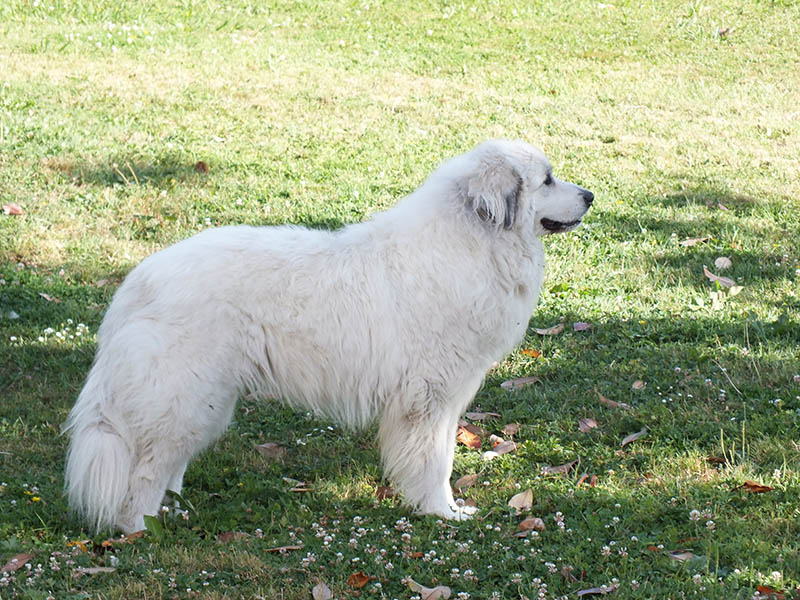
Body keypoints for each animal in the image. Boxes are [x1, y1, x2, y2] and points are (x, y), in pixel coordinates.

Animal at [64, 138, 592, 532]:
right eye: (547, 180)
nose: (590, 196)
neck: (472, 242)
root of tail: (137, 282)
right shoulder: (428, 402)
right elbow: (435, 464)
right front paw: (441, 513)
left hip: (205, 403)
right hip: (184, 400)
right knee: (143, 473)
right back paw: (140, 530)